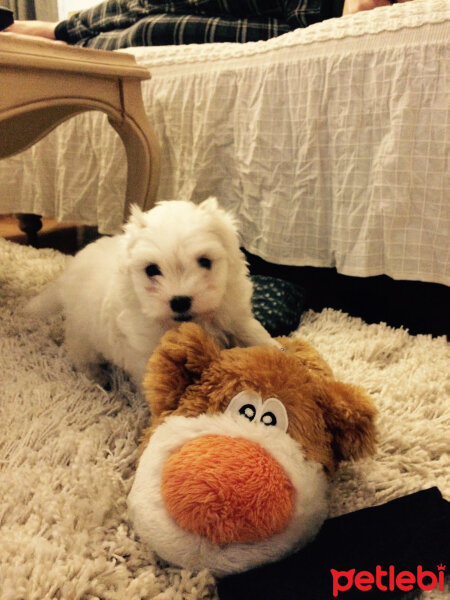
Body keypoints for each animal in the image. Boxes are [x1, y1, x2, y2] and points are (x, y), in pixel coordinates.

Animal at [27, 197, 278, 384]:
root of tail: (68, 272)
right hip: (84, 332)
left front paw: (280, 352)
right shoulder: (148, 351)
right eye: (152, 270)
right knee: (80, 353)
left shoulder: (235, 313)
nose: (180, 301)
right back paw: (97, 376)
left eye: (205, 262)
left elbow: (254, 333)